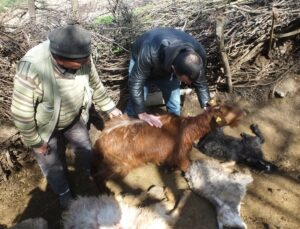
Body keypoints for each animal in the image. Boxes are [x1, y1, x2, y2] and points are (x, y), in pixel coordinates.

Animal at [94, 104, 244, 177]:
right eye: (227, 111)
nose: (243, 111)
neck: (186, 128)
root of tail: (100, 138)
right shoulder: (181, 156)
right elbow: (189, 167)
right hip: (119, 165)